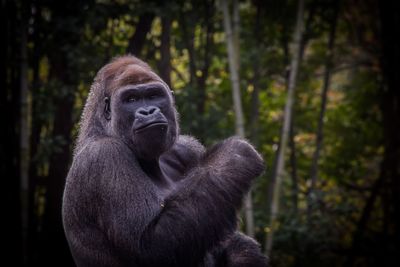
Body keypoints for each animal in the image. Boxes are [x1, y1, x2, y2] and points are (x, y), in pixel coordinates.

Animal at [62, 55, 268, 266]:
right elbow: (151, 245)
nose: (148, 111)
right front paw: (235, 157)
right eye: (131, 99)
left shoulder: (187, 147)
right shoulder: (104, 156)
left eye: (154, 95)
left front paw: (245, 254)